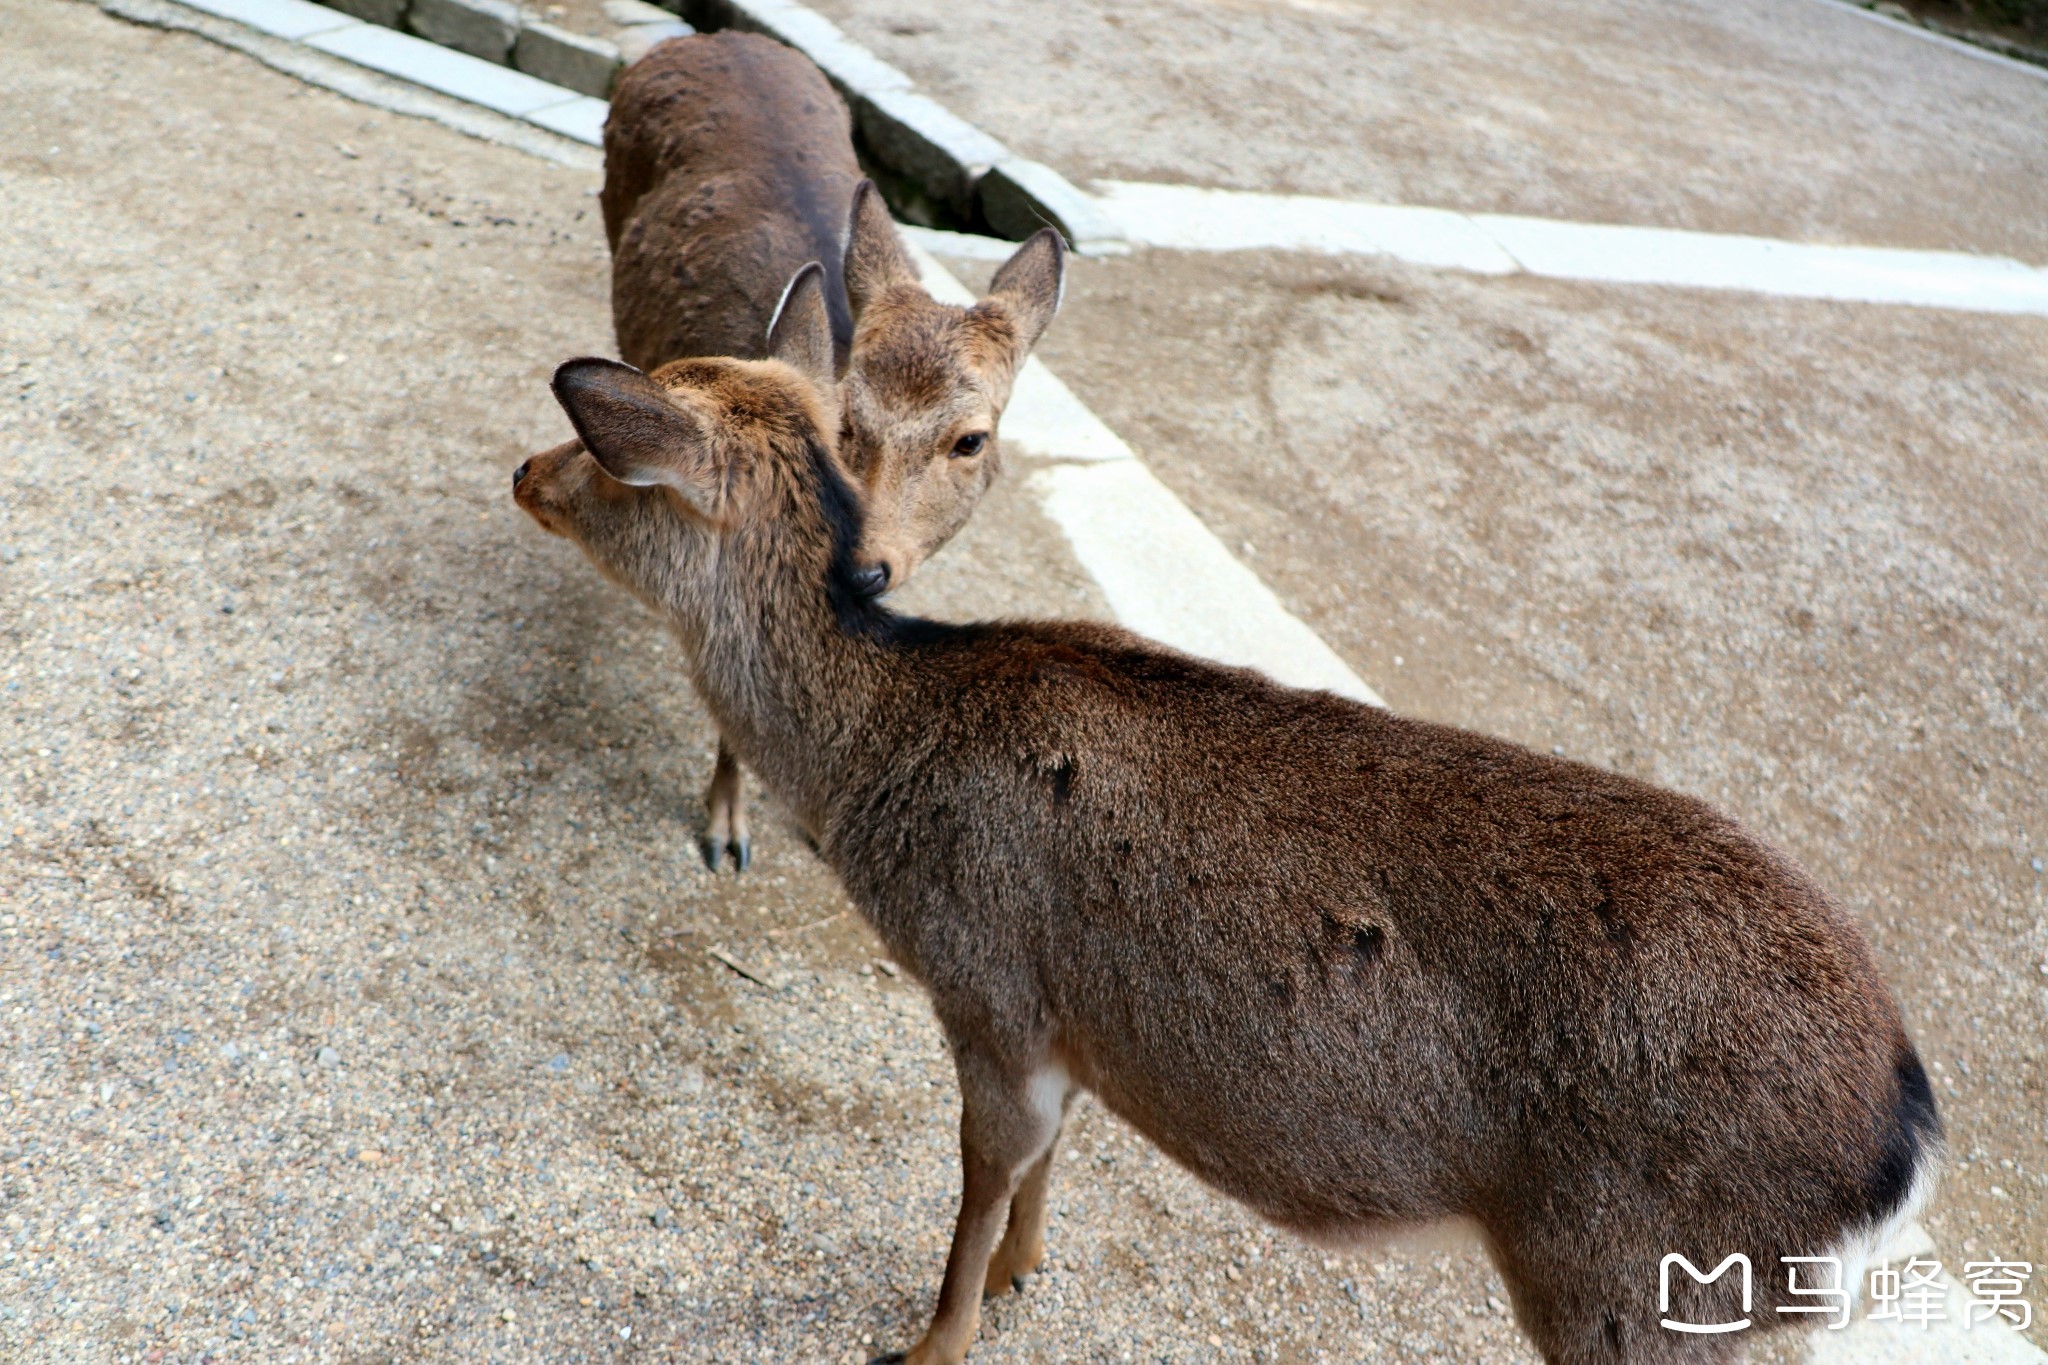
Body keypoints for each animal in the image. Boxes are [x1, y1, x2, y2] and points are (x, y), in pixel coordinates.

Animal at [507, 266, 1933, 1365]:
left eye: (612, 451)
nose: (522, 467)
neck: (874, 784)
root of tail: (1902, 1130)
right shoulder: (1073, 1020)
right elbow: (1044, 1170)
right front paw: (1027, 1272)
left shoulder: (991, 991)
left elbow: (980, 1179)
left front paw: (929, 1339)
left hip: (1629, 1283)